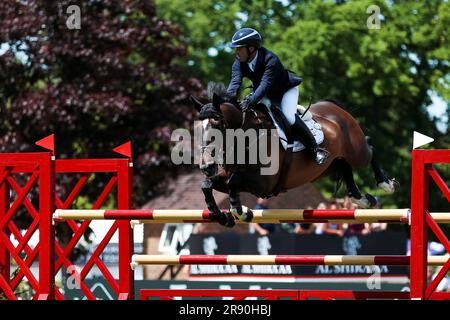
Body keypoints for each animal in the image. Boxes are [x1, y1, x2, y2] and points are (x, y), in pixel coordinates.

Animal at [192, 84, 396, 226]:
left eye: (217, 126)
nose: (206, 167)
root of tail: (334, 107)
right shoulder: (226, 177)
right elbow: (206, 185)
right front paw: (224, 217)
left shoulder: (263, 184)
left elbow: (234, 182)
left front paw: (241, 211)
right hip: (325, 168)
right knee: (343, 165)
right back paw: (360, 198)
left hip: (356, 151)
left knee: (369, 147)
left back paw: (385, 184)